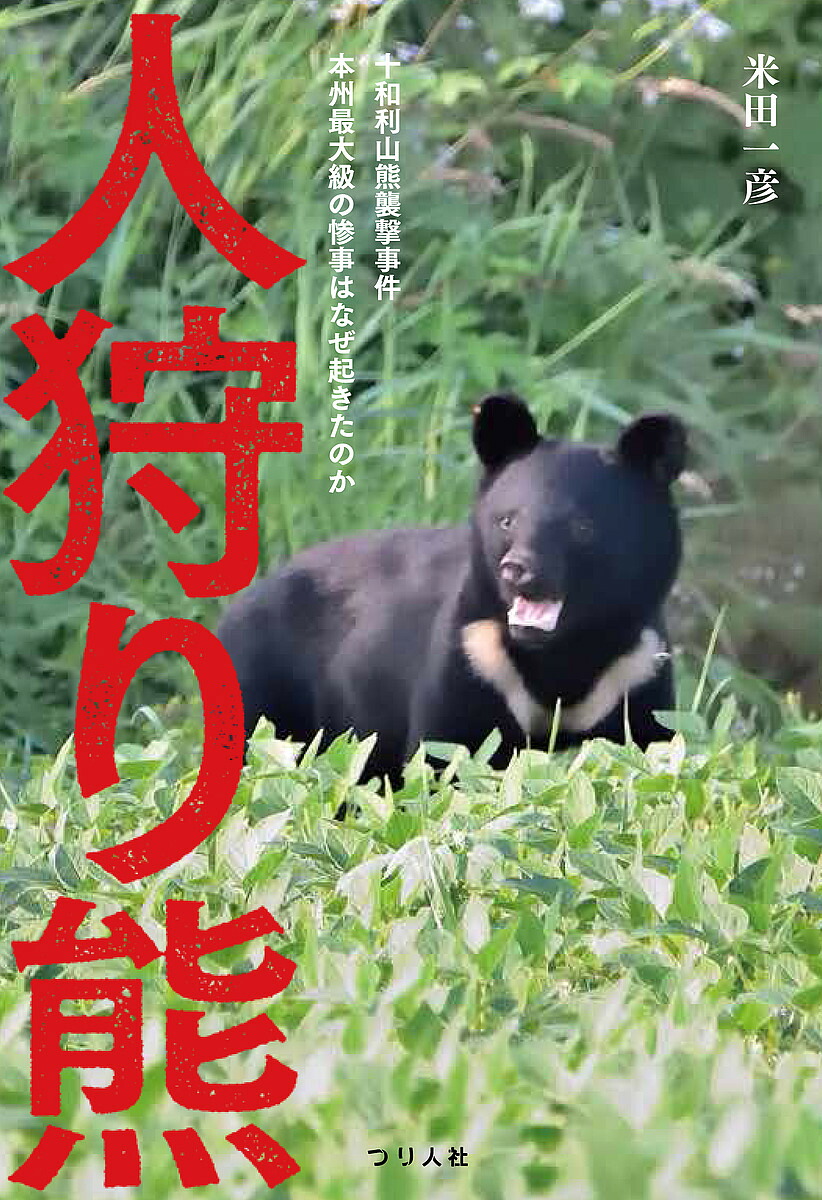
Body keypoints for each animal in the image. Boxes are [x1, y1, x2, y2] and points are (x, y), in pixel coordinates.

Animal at [216, 394, 686, 787]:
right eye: (507, 520)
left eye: (583, 528)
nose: (518, 570)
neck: (560, 652)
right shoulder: (474, 657)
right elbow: (446, 759)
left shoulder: (636, 672)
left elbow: (652, 750)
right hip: (263, 686)